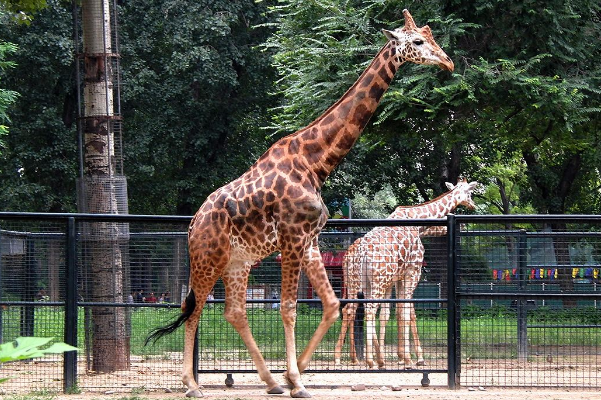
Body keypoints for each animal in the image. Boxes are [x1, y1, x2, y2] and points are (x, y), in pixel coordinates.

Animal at [146, 10, 450, 398]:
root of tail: (191, 224)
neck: (315, 162)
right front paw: (297, 379)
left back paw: (270, 380)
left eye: (432, 36)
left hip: (238, 262)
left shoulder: (310, 241)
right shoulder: (291, 238)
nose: (448, 62)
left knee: (234, 312)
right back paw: (191, 384)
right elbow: (289, 307)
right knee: (196, 309)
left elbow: (332, 304)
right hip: (207, 259)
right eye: (418, 41)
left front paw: (297, 373)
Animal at [330, 178, 476, 368]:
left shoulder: (397, 278)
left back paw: (363, 358)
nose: (473, 206)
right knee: (367, 310)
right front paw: (410, 359)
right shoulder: (412, 272)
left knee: (352, 309)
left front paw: (400, 356)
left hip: (360, 282)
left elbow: (394, 312)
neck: (418, 221)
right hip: (377, 281)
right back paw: (368, 360)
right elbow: (407, 313)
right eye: (470, 193)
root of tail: (358, 254)